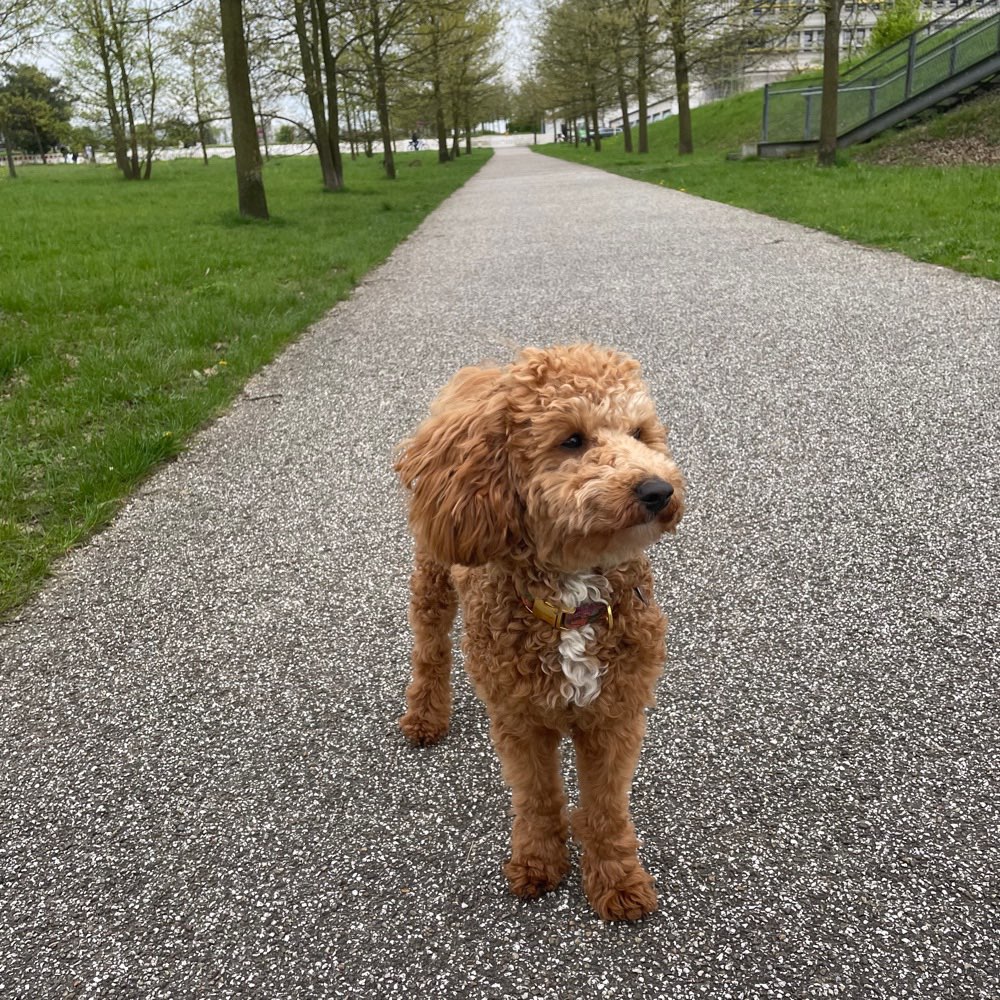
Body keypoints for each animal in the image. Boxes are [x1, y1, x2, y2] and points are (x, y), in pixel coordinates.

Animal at [394, 346, 684, 920]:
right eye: (572, 440)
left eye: (640, 433)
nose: (657, 489)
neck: (573, 600)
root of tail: (484, 373)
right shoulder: (519, 718)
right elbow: (537, 796)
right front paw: (537, 862)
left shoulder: (615, 716)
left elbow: (605, 808)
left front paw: (618, 881)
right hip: (433, 571)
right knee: (430, 647)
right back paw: (424, 715)